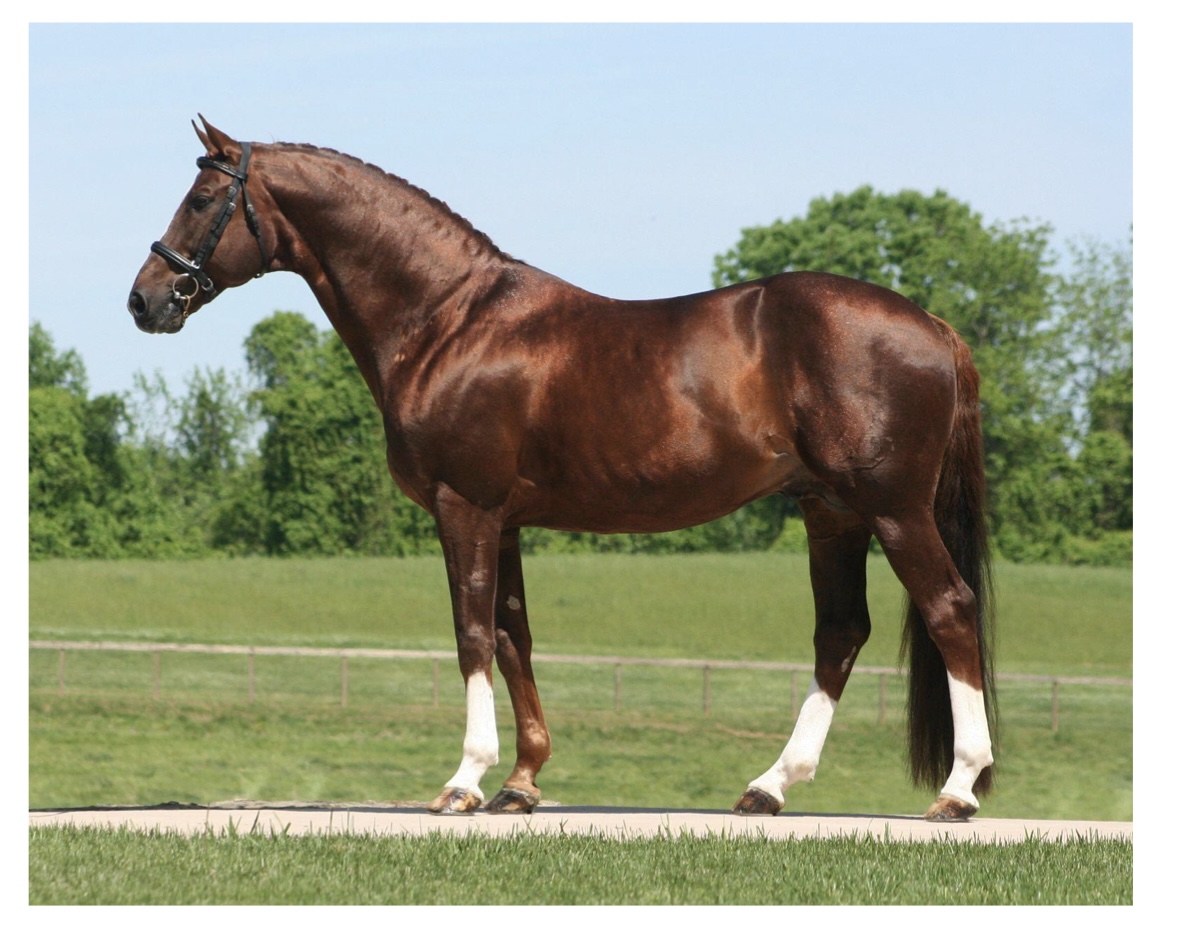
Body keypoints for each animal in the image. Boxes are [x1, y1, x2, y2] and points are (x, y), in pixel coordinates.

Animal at [128, 117, 996, 821]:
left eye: (203, 198)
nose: (145, 301)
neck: (449, 321)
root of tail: (933, 325)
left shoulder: (465, 507)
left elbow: (472, 631)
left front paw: (464, 781)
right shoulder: (505, 519)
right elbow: (515, 634)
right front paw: (520, 784)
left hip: (893, 510)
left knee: (951, 610)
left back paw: (958, 790)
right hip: (832, 514)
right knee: (840, 633)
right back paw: (768, 787)